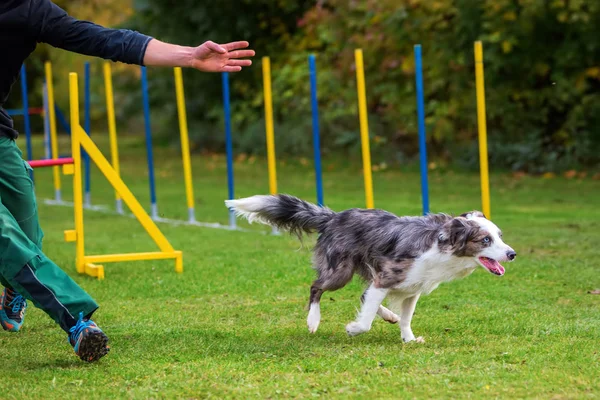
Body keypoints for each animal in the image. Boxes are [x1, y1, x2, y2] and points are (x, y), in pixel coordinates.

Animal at [225, 194, 516, 340]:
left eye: (500, 236)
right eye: (485, 240)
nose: (512, 254)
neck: (442, 246)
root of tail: (334, 217)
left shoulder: (411, 289)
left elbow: (406, 318)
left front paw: (408, 339)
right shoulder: (387, 276)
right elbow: (365, 321)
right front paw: (353, 329)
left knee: (363, 295)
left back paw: (387, 315)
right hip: (340, 271)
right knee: (316, 287)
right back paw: (313, 320)